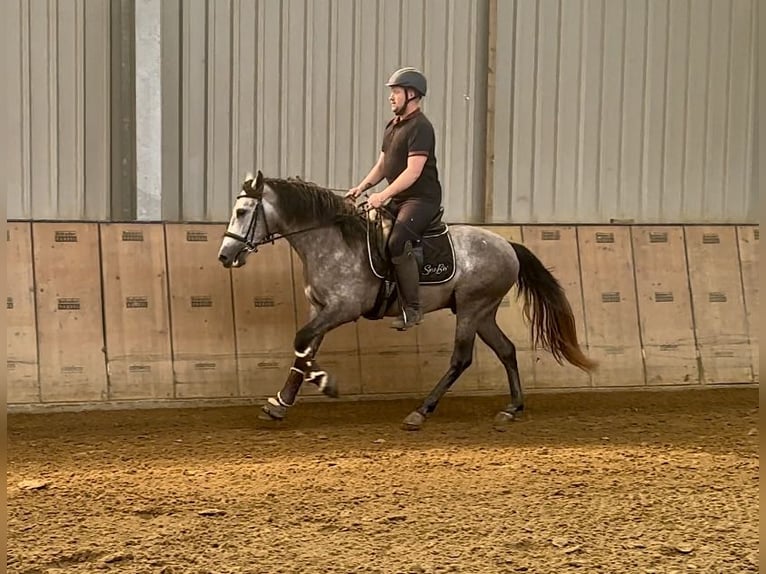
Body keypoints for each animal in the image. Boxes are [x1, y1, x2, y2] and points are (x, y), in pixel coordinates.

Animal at [219, 171, 596, 432]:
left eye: (243, 211)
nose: (225, 255)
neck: (331, 241)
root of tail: (507, 246)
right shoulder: (321, 308)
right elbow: (304, 349)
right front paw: (280, 404)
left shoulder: (343, 309)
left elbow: (301, 340)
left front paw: (326, 383)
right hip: (483, 312)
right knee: (506, 350)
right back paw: (511, 408)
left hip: (472, 309)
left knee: (461, 359)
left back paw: (421, 411)